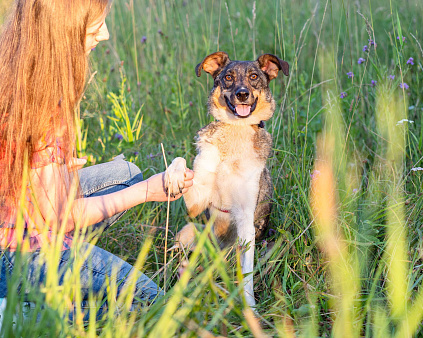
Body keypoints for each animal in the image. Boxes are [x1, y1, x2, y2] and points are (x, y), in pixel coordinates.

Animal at [164, 51, 290, 308]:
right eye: (228, 77)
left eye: (254, 77)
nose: (242, 94)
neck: (235, 131)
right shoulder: (196, 202)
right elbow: (182, 161)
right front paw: (173, 176)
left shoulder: (245, 221)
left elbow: (247, 274)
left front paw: (250, 307)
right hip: (189, 230)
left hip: (275, 243)